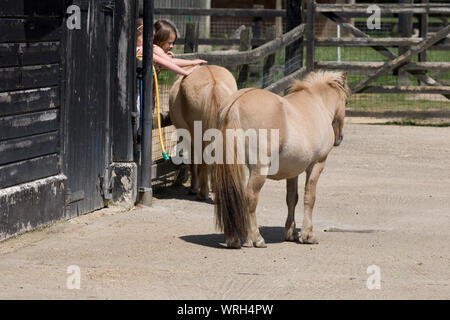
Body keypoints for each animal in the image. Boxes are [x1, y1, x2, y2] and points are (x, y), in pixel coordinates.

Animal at [170, 65, 239, 200]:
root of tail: (213, 83)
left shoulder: (188, 138)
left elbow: (193, 161)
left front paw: (193, 188)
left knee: (203, 159)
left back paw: (202, 193)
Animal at [213, 71, 350, 249]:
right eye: (346, 101)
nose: (339, 138)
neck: (317, 104)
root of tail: (234, 105)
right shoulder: (317, 164)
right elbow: (310, 197)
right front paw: (308, 235)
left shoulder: (293, 171)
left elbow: (292, 198)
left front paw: (291, 233)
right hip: (259, 169)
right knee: (250, 197)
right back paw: (256, 238)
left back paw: (238, 239)